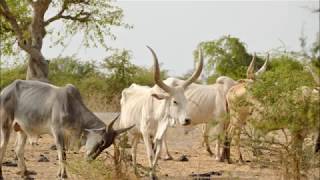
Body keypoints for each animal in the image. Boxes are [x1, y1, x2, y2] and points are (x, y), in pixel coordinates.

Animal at [0, 80, 132, 179]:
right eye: (101, 142)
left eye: (106, 146)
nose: (89, 159)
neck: (71, 105)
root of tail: (4, 91)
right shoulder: (57, 131)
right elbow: (62, 153)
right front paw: (63, 174)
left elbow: (62, 154)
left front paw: (60, 173)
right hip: (6, 125)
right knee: (3, 147)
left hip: (22, 130)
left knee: (18, 149)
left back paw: (25, 173)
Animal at [119, 46, 204, 179]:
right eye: (174, 101)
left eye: (185, 100)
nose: (187, 120)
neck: (157, 116)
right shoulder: (146, 133)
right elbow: (150, 154)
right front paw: (151, 175)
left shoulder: (160, 135)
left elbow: (157, 154)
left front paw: (153, 174)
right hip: (124, 128)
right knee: (123, 148)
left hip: (136, 133)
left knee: (133, 149)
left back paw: (136, 172)